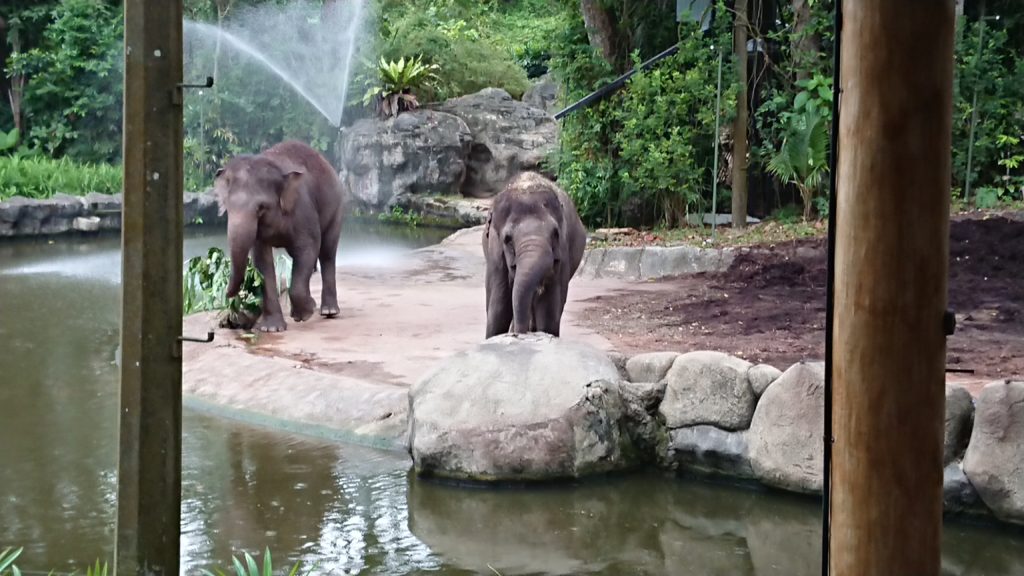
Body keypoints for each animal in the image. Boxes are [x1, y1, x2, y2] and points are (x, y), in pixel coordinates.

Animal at [214, 138, 346, 332]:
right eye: (228, 207)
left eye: (261, 208)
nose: (227, 296)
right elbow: (262, 261)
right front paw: (272, 328)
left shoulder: (303, 209)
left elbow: (308, 248)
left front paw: (305, 313)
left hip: (336, 208)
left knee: (327, 252)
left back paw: (328, 311)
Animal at [479, 170, 585, 336]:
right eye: (508, 240)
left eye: (555, 233)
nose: (518, 333)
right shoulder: (495, 252)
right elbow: (499, 306)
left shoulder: (563, 249)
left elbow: (549, 309)